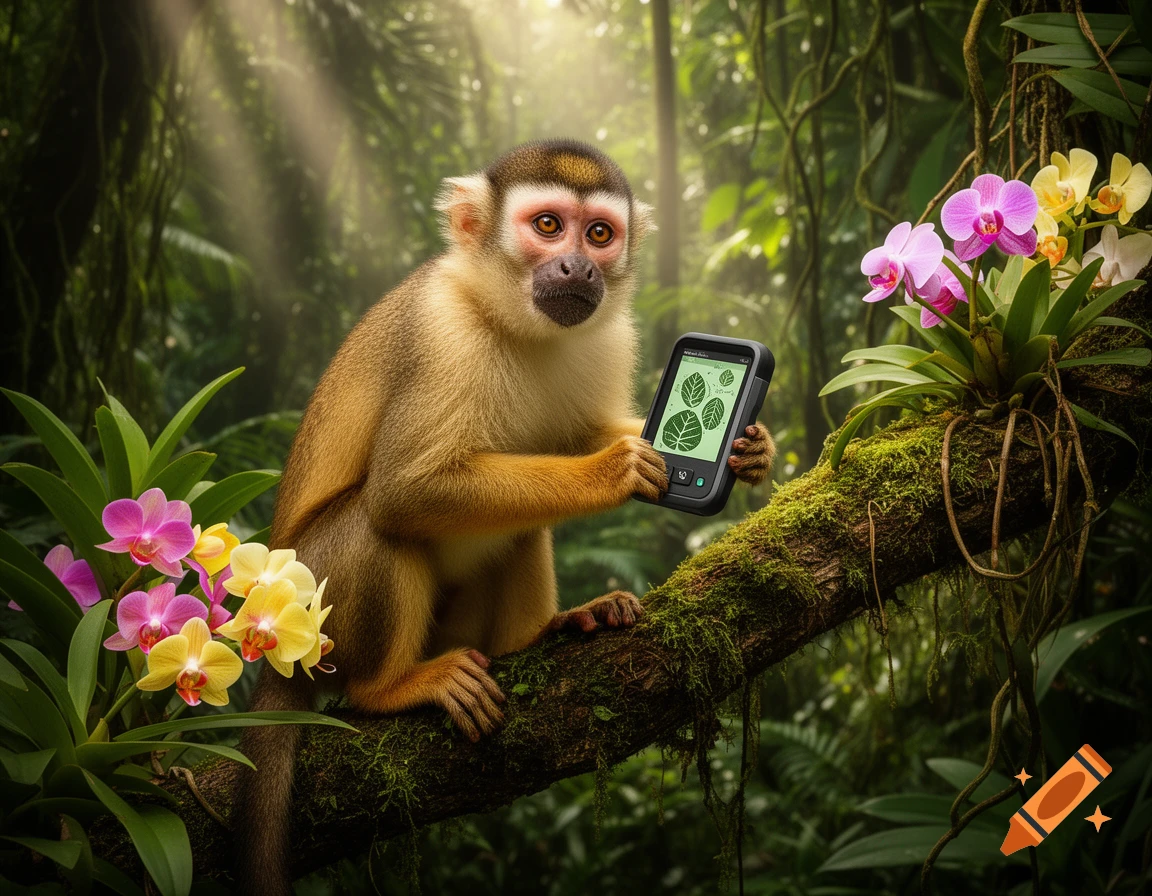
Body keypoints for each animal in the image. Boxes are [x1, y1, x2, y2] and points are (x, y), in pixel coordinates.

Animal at [233, 139, 775, 895]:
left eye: (599, 234)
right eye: (548, 226)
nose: (578, 265)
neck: (510, 316)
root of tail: (273, 645)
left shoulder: (610, 334)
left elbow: (581, 430)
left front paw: (749, 447)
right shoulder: (442, 333)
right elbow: (406, 489)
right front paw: (613, 471)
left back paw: (544, 631)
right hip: (315, 618)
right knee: (379, 526)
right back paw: (387, 689)